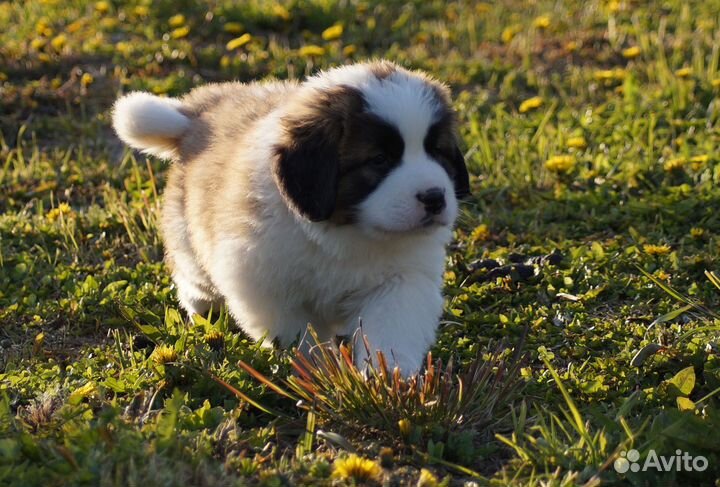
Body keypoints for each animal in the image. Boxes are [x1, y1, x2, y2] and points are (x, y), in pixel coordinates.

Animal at [112, 60, 470, 374]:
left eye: (437, 152)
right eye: (379, 160)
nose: (435, 198)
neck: (345, 232)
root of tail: (201, 113)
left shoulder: (401, 280)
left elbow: (392, 329)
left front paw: (388, 376)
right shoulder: (263, 283)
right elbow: (299, 334)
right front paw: (317, 369)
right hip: (188, 239)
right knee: (193, 280)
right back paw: (204, 312)